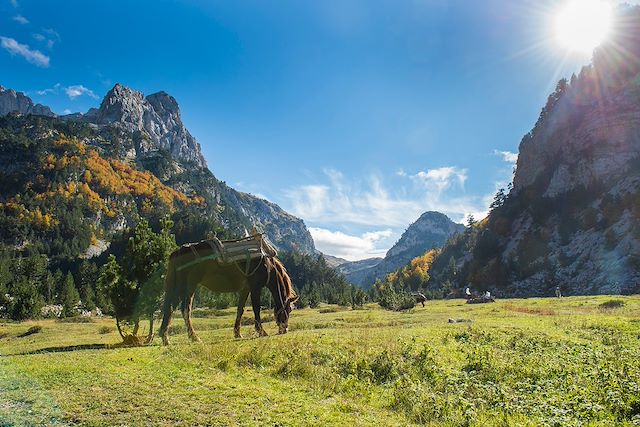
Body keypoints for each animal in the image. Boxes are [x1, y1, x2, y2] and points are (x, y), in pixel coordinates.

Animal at [158, 239, 298, 346]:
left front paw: (237, 333)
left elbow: (240, 310)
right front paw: (261, 331)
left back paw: (165, 338)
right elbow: (256, 309)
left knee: (170, 308)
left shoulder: (245, 288)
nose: (285, 329)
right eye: (288, 310)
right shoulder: (255, 287)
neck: (268, 265)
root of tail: (178, 252)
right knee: (185, 309)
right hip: (188, 285)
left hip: (179, 286)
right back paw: (193, 337)